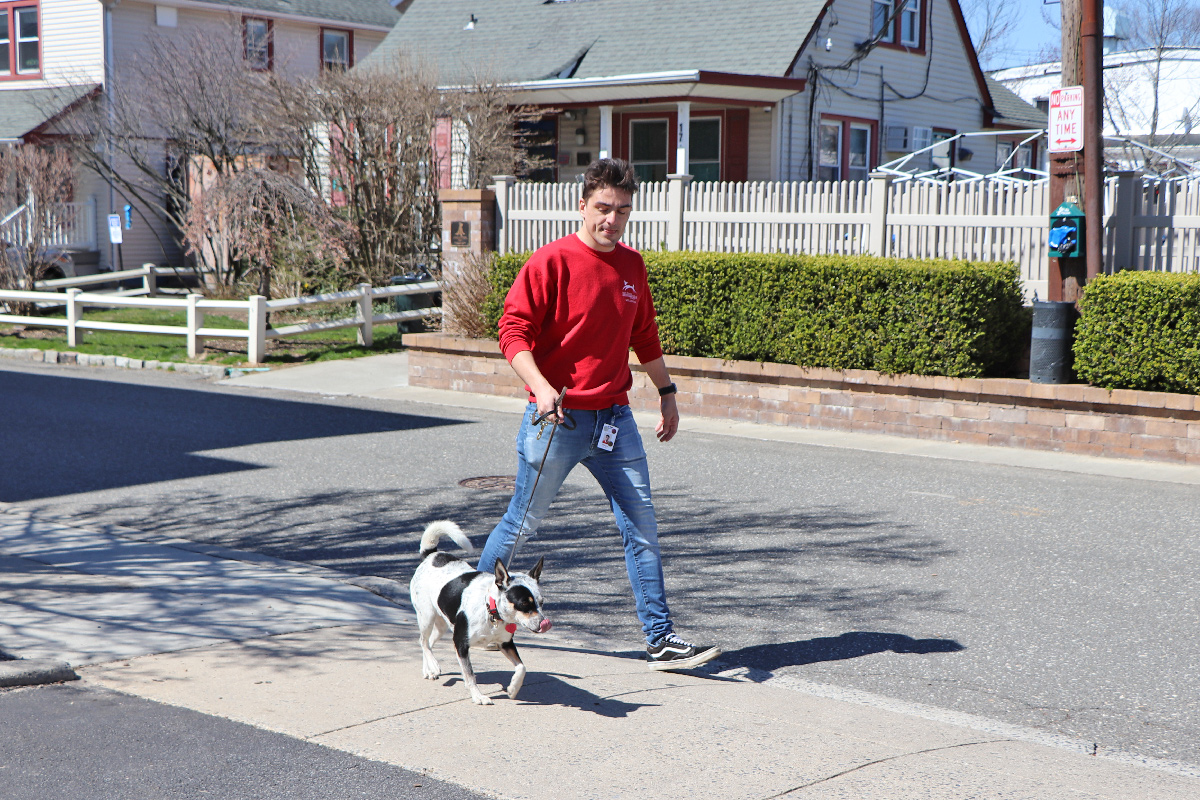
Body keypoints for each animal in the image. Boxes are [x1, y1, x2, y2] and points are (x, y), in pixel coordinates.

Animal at [405, 522, 549, 705]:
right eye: (524, 603)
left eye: (541, 603)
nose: (545, 624)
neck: (490, 610)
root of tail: (431, 555)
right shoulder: (460, 644)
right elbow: (470, 675)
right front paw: (478, 696)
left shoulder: (505, 643)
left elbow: (522, 667)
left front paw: (513, 688)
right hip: (426, 617)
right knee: (423, 642)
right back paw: (433, 665)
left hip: (442, 625)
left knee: (428, 642)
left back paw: (428, 669)